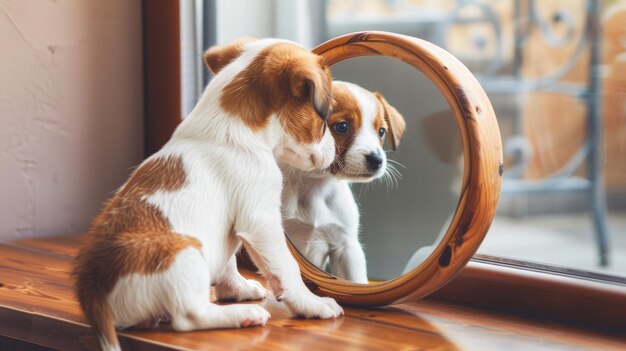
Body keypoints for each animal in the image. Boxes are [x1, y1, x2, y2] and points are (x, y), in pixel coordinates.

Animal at [75, 38, 344, 351]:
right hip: (184, 253)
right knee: (189, 316)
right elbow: (287, 268)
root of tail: (92, 291)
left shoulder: (229, 231)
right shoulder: (261, 221)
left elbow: (228, 265)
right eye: (325, 117)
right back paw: (244, 315)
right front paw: (312, 304)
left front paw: (237, 289)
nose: (335, 153)